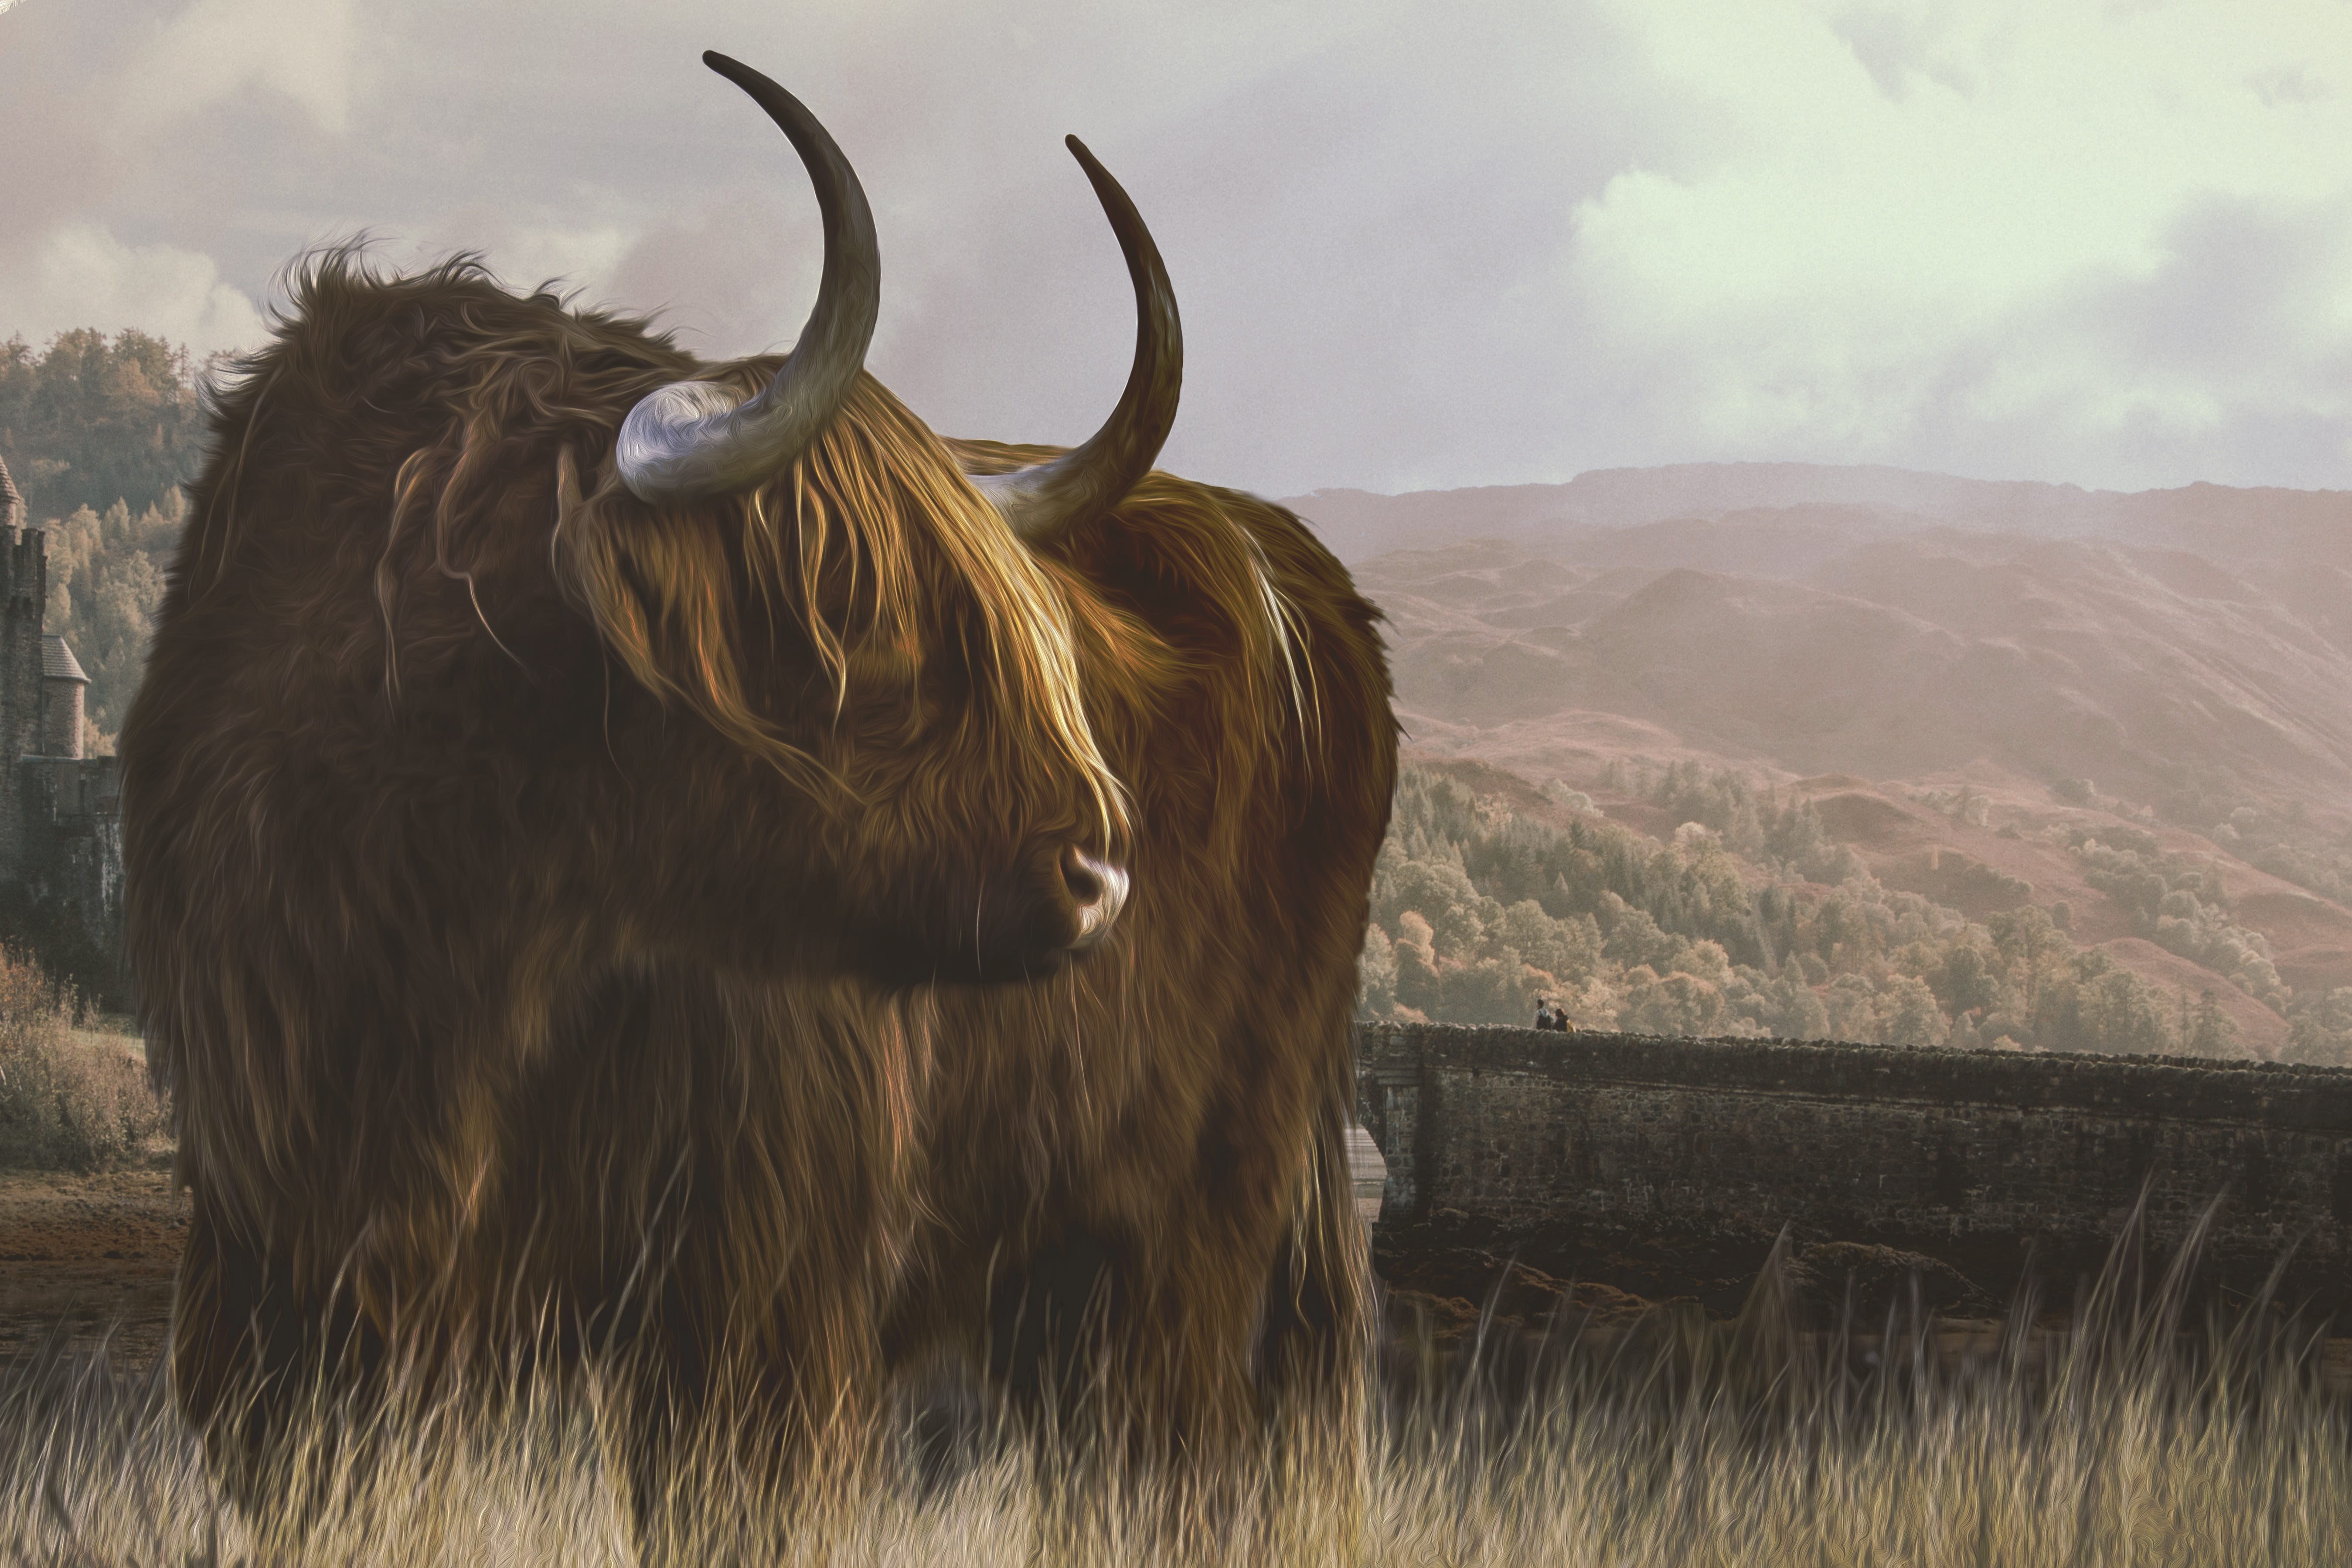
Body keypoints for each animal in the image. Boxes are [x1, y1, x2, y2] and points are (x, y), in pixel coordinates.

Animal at [121, 52, 1395, 1503]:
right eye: (855, 611)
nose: (1097, 871)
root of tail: (1292, 563)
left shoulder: (759, 1291)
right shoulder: (275, 1274)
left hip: (1194, 1220)